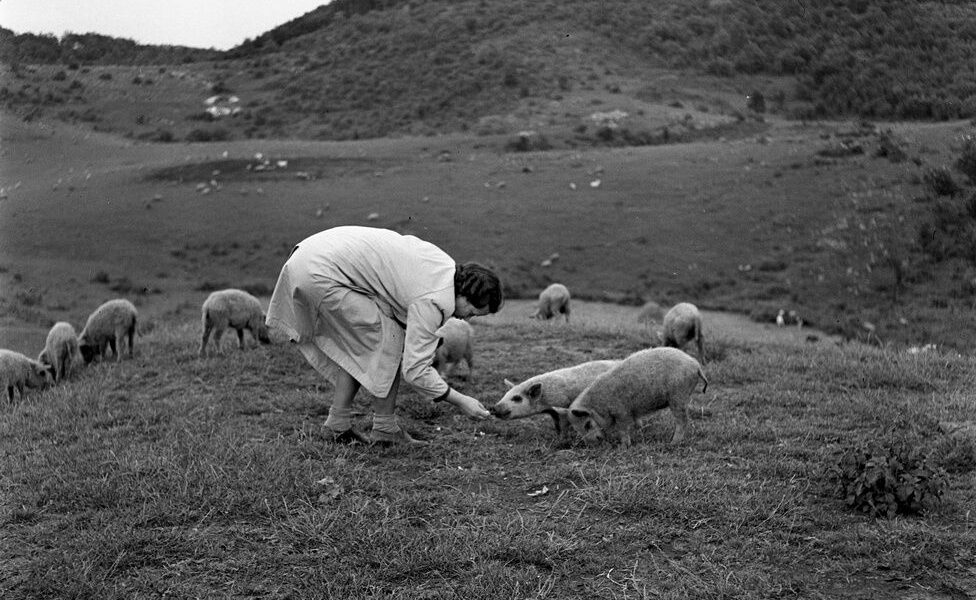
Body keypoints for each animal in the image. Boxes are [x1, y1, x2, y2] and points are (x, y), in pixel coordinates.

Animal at [556, 346, 708, 446]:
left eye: (587, 424)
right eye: (577, 429)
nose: (593, 444)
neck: (600, 405)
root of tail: (696, 365)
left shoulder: (622, 411)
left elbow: (623, 429)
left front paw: (623, 446)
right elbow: (635, 424)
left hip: (678, 396)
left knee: (683, 421)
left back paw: (672, 443)